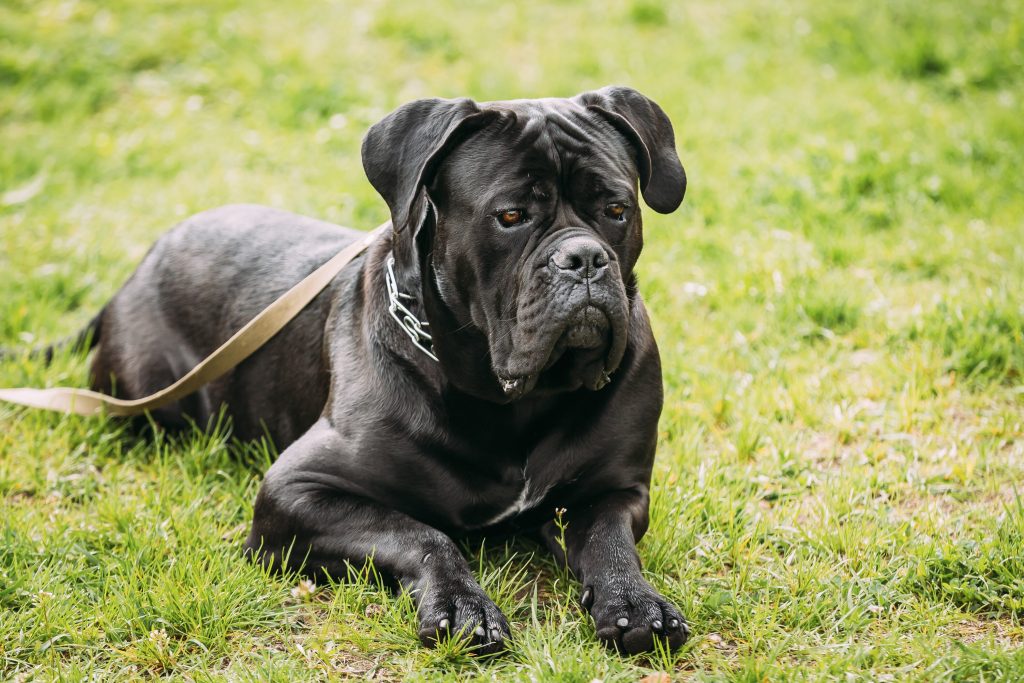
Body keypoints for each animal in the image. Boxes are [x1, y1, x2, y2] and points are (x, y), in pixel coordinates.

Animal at [27, 86, 689, 655]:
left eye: (616, 209)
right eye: (510, 216)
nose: (584, 258)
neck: (514, 399)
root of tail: (137, 268)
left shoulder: (615, 488)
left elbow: (608, 542)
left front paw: (635, 603)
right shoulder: (296, 491)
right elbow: (422, 534)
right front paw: (462, 606)